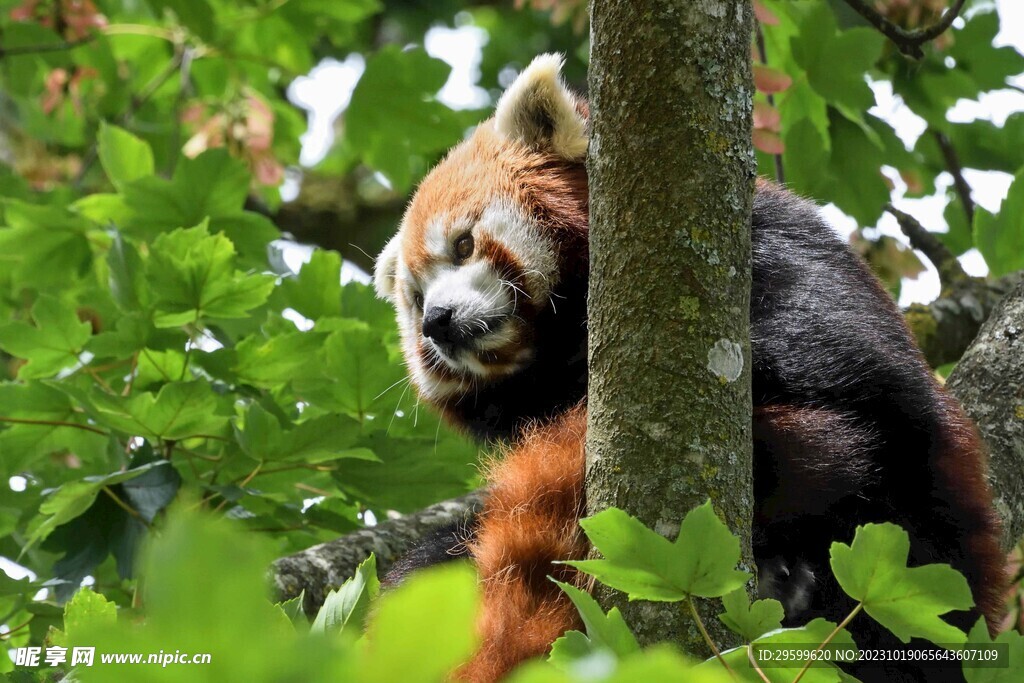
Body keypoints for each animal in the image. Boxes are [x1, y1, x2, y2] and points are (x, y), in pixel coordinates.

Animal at [372, 54, 1003, 683]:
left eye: (463, 244)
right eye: (415, 299)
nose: (438, 322)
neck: (565, 340)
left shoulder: (781, 250)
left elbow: (840, 364)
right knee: (439, 555)